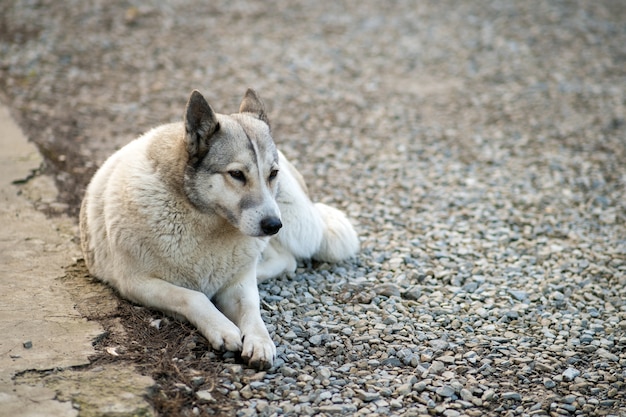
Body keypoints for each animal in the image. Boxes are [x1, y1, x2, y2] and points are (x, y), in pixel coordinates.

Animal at [80, 88, 358, 368]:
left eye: (272, 174)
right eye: (236, 174)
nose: (273, 225)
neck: (204, 222)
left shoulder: (240, 286)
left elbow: (251, 309)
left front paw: (260, 341)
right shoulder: (137, 284)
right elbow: (193, 296)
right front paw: (222, 328)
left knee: (285, 260)